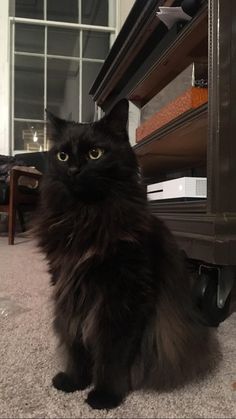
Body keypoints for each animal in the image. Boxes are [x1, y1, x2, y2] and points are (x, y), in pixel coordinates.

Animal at [34, 99, 217, 410]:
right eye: (62, 156)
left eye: (95, 153)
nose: (74, 170)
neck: (87, 217)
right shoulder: (70, 290)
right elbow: (76, 341)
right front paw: (74, 381)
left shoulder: (124, 295)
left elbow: (113, 353)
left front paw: (105, 395)